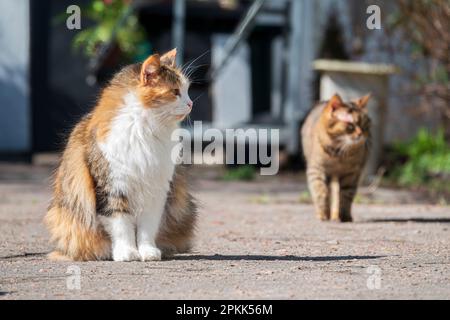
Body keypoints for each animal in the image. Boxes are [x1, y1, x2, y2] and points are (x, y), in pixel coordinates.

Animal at [45, 48, 197, 262]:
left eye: (187, 90)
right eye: (175, 92)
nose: (191, 103)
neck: (144, 130)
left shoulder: (156, 192)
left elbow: (147, 229)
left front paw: (148, 252)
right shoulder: (112, 188)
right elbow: (121, 226)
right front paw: (127, 252)